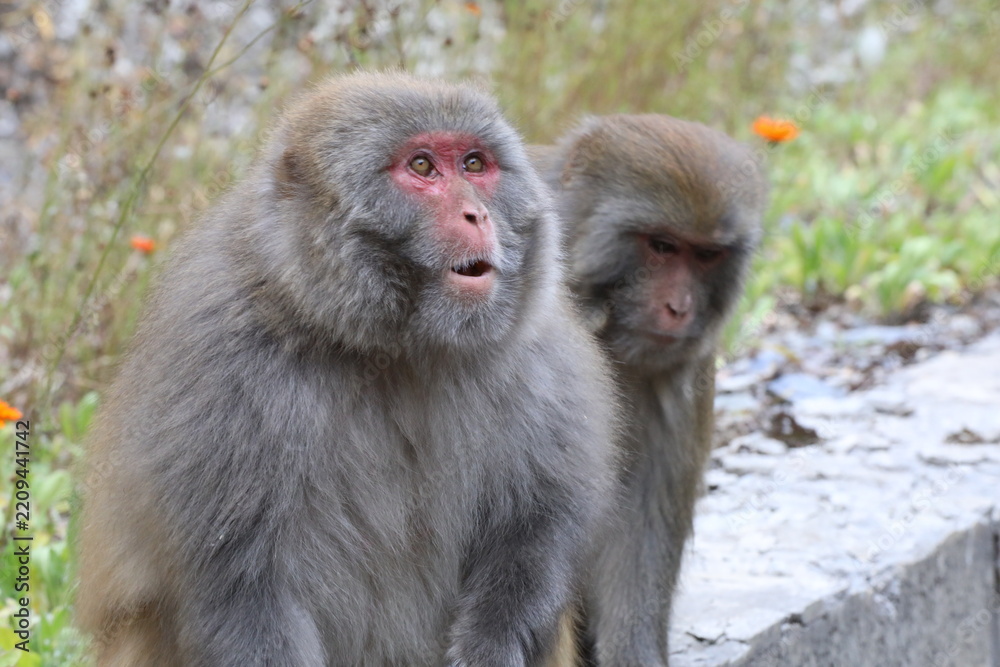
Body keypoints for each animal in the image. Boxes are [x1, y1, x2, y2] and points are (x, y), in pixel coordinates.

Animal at [75, 72, 620, 667]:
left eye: (475, 164)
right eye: (422, 166)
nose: (477, 214)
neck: (395, 350)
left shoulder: (539, 357)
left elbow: (538, 529)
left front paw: (492, 645)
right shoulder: (219, 371)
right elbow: (242, 592)